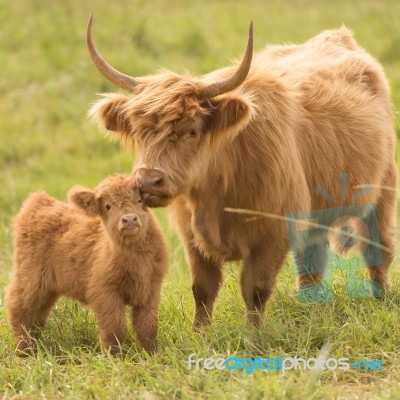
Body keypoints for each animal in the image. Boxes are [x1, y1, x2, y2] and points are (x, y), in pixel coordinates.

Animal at [6, 175, 169, 354]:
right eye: (108, 206)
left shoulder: (151, 288)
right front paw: (113, 356)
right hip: (29, 278)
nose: (129, 219)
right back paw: (24, 351)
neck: (136, 256)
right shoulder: (104, 292)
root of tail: (40, 201)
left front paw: (151, 354)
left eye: (140, 200)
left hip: (47, 289)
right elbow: (115, 328)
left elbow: (148, 326)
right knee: (19, 308)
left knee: (38, 315)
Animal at [86, 14, 396, 328]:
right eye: (139, 132)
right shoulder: (191, 237)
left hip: (383, 190)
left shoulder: (272, 233)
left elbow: (255, 289)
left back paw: (381, 298)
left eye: (192, 131)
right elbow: (203, 288)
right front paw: (200, 332)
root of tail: (337, 36)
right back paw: (311, 307)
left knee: (378, 248)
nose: (149, 181)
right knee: (312, 261)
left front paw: (254, 334)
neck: (218, 189)